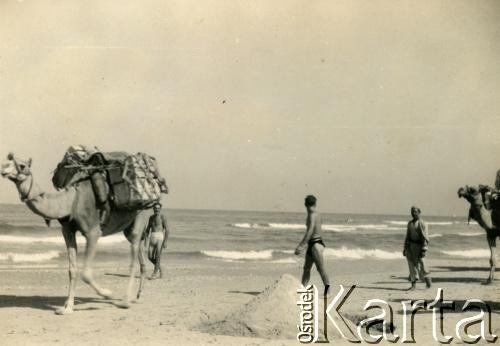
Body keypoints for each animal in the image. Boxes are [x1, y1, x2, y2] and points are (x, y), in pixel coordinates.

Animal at [1, 153, 150, 314]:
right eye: (7, 161)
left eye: (22, 166)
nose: (3, 169)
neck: (71, 201)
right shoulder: (67, 231)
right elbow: (72, 270)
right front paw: (67, 307)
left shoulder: (93, 232)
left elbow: (86, 274)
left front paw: (107, 293)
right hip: (128, 228)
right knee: (139, 254)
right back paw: (138, 296)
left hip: (142, 213)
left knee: (134, 254)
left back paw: (125, 301)